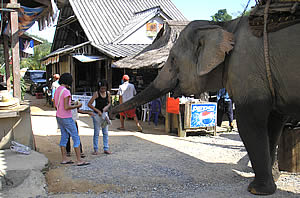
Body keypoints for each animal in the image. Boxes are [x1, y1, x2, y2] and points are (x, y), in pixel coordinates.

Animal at [110, 16, 300, 195]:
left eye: (173, 59)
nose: (109, 112)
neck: (224, 26)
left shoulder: (247, 71)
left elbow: (250, 124)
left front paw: (256, 190)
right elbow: (273, 125)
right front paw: (271, 181)